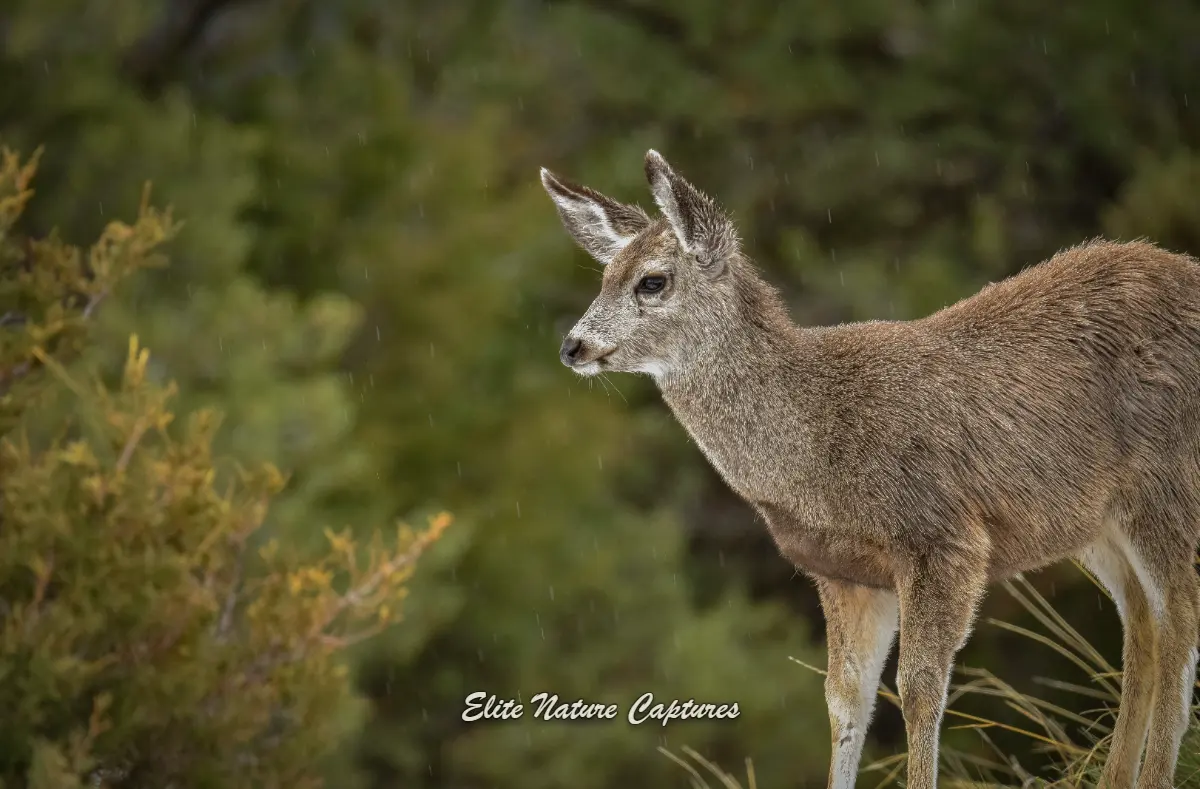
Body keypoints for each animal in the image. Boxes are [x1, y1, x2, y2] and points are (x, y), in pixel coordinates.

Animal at [539, 150, 1200, 789]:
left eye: (652, 281)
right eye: (604, 277)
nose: (571, 346)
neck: (815, 442)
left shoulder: (945, 539)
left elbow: (918, 688)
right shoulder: (845, 573)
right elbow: (845, 698)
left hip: (1165, 481)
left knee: (1179, 626)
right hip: (1095, 525)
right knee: (1143, 627)